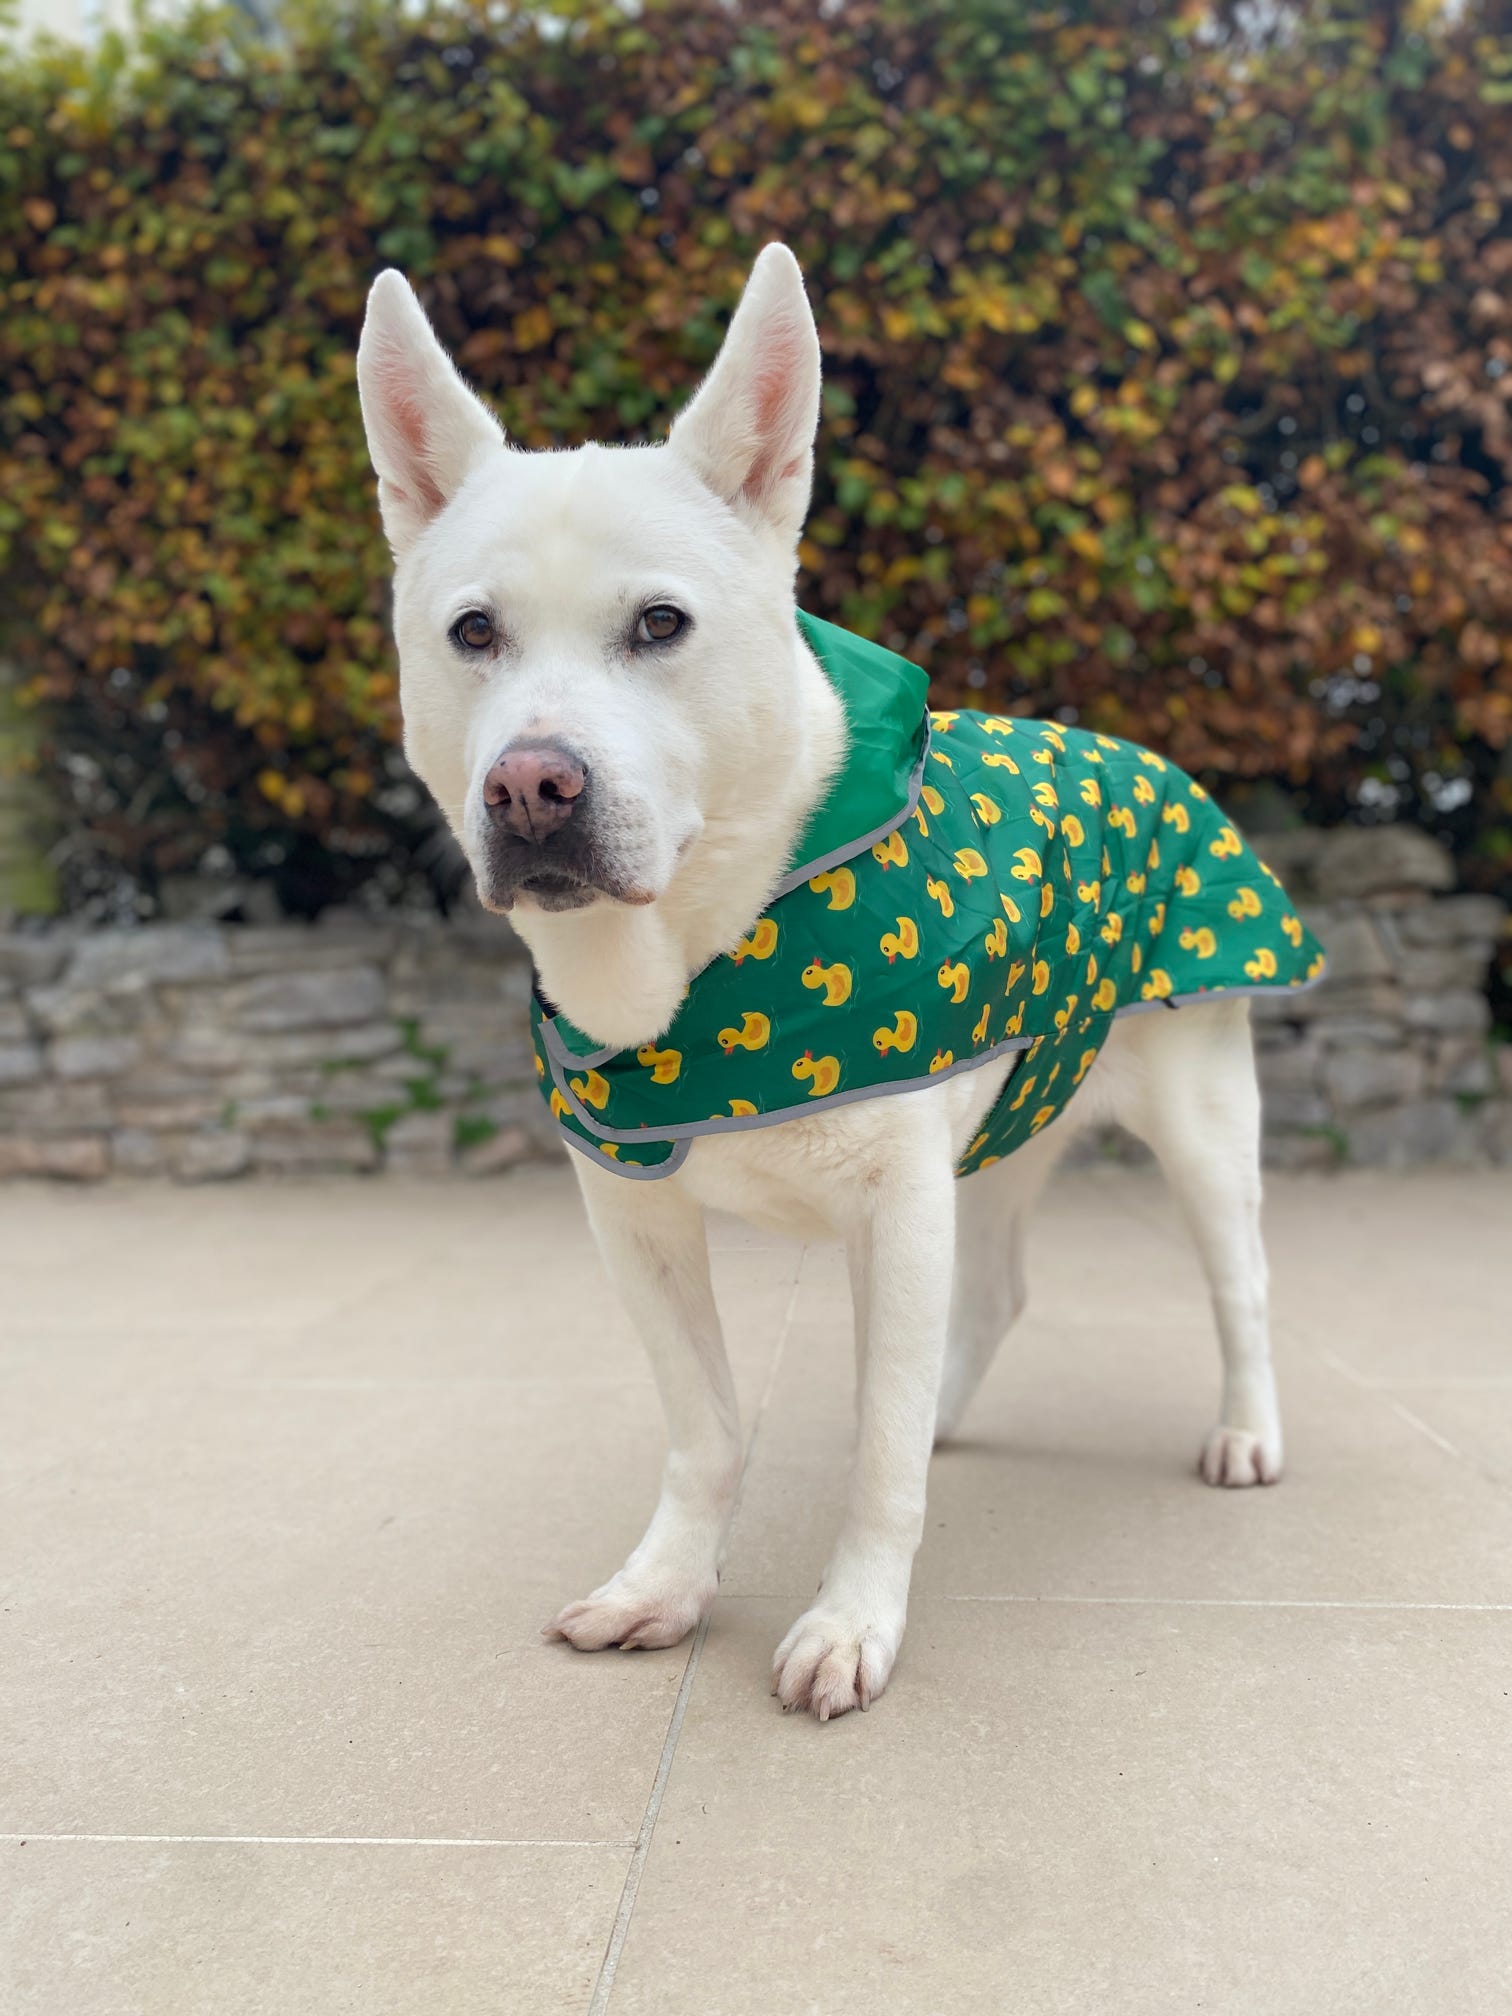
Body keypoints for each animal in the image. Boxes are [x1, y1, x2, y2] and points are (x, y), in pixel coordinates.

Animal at [356, 243, 1293, 1722]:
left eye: (661, 623)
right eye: (472, 633)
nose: (530, 787)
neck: (710, 953)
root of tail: (1152, 757)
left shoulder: (896, 1215)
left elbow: (874, 1450)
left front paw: (855, 1619)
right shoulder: (635, 1221)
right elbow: (704, 1425)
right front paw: (668, 1582)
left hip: (1200, 1117)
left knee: (1238, 1280)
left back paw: (1247, 1431)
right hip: (1011, 1122)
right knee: (998, 1290)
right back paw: (956, 1413)